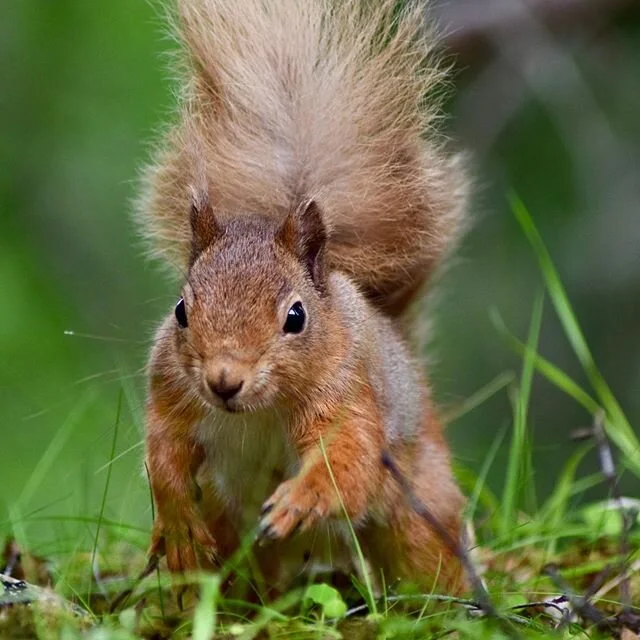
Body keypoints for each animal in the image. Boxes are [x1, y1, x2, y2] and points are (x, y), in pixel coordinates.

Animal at [137, 0, 469, 595]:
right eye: (180, 311)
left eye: (296, 316)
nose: (224, 381)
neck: (258, 411)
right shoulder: (172, 394)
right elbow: (164, 453)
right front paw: (175, 525)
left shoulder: (347, 396)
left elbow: (348, 462)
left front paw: (300, 500)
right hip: (229, 532)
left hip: (419, 513)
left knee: (430, 562)